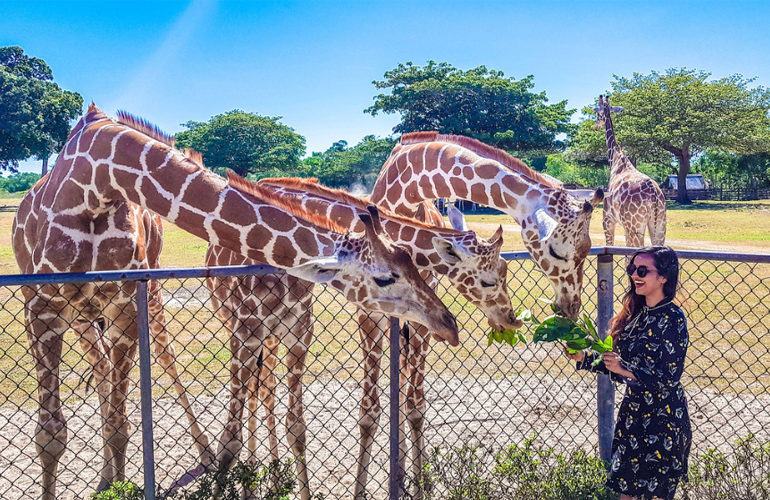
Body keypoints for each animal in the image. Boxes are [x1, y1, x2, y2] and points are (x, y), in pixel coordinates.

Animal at [10, 103, 456, 498]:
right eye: (386, 276)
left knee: (118, 375)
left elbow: (291, 426)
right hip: (119, 306)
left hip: (110, 313)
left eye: (414, 262)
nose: (447, 323)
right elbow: (51, 436)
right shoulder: (44, 308)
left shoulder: (289, 331)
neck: (102, 179)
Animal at [204, 173, 520, 500]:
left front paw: (418, 485)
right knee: (261, 390)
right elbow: (369, 412)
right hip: (244, 328)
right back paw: (260, 480)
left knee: (265, 388)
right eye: (490, 280)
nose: (511, 319)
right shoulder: (252, 327)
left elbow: (412, 405)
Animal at [592, 94, 664, 247]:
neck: (615, 159)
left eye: (597, 113)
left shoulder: (607, 219)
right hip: (659, 224)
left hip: (635, 226)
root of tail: (654, 195)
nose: (596, 126)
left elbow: (610, 246)